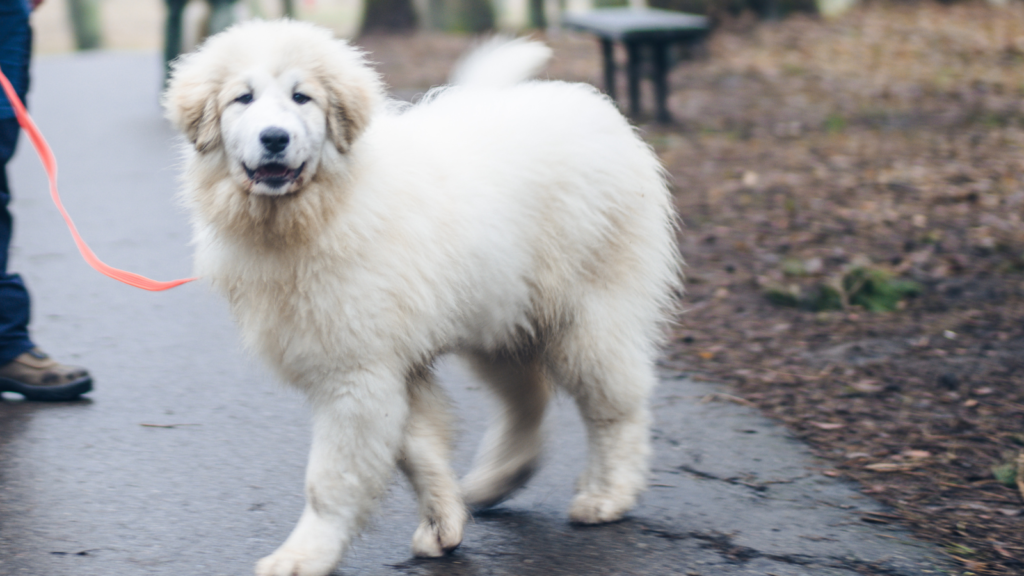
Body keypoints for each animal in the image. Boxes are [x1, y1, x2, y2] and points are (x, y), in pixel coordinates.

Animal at [163, 19, 684, 573]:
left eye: (302, 97)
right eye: (243, 98)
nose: (275, 138)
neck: (325, 207)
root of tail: (596, 109)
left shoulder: (356, 373)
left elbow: (332, 479)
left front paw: (304, 556)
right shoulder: (389, 365)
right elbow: (418, 449)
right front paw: (444, 525)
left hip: (587, 315)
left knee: (616, 405)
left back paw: (608, 494)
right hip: (499, 317)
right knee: (528, 399)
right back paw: (495, 480)